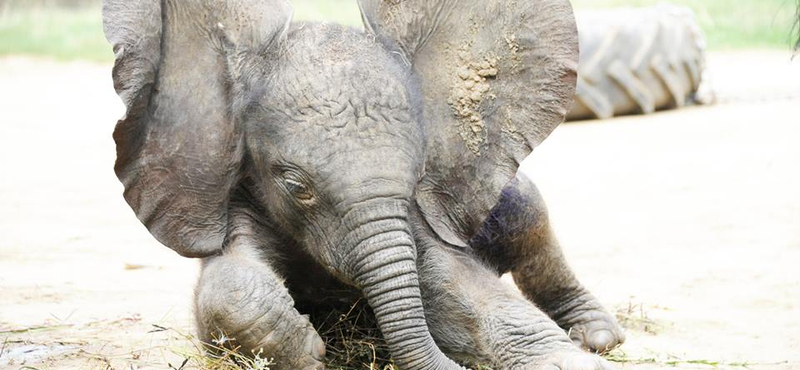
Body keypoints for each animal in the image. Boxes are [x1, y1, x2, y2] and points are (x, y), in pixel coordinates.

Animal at [101, 0, 624, 370]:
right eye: (297, 187)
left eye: (418, 176)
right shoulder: (241, 192)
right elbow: (227, 282)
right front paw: (308, 351)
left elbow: (460, 285)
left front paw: (571, 361)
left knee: (527, 216)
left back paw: (598, 336)